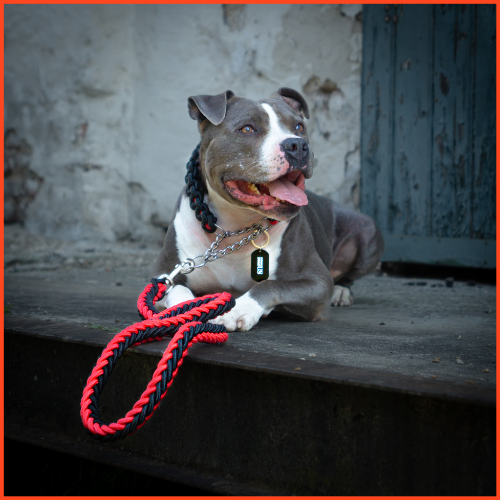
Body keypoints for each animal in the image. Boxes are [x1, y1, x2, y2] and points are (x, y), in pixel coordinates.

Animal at [154, 89, 384, 332]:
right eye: (247, 129)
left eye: (299, 127)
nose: (297, 145)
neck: (234, 229)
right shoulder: (163, 275)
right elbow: (178, 289)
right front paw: (188, 309)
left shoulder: (318, 282)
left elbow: (270, 286)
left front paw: (240, 309)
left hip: (367, 231)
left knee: (347, 276)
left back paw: (341, 291)